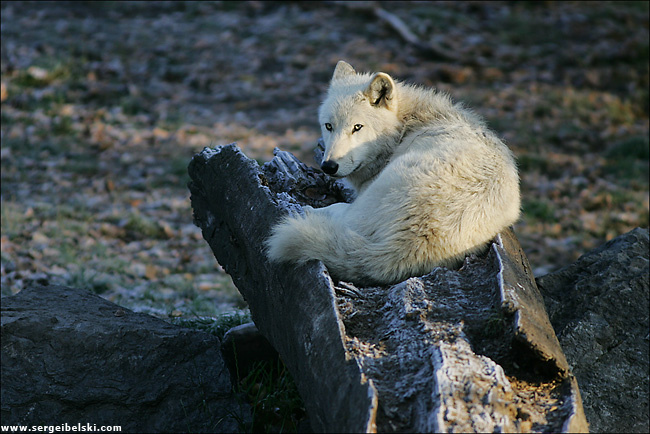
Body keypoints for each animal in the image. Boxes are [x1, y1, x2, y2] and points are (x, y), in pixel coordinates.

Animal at [265, 60, 521, 286]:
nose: (329, 166)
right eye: (329, 126)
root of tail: (411, 242)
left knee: (338, 215)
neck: (405, 126)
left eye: (357, 127)